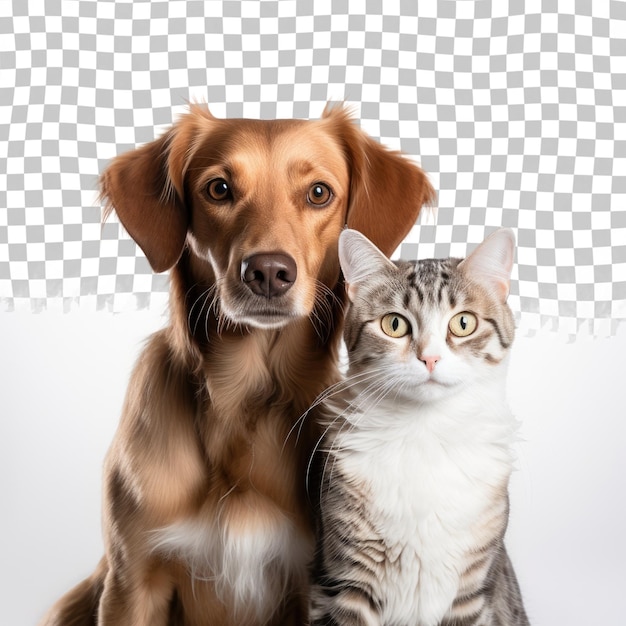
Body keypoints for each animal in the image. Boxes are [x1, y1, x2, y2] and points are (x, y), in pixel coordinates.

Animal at [308, 227, 528, 620]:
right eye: (394, 324)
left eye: (463, 323)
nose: (430, 358)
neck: (426, 433)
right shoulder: (346, 583)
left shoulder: (471, 593)